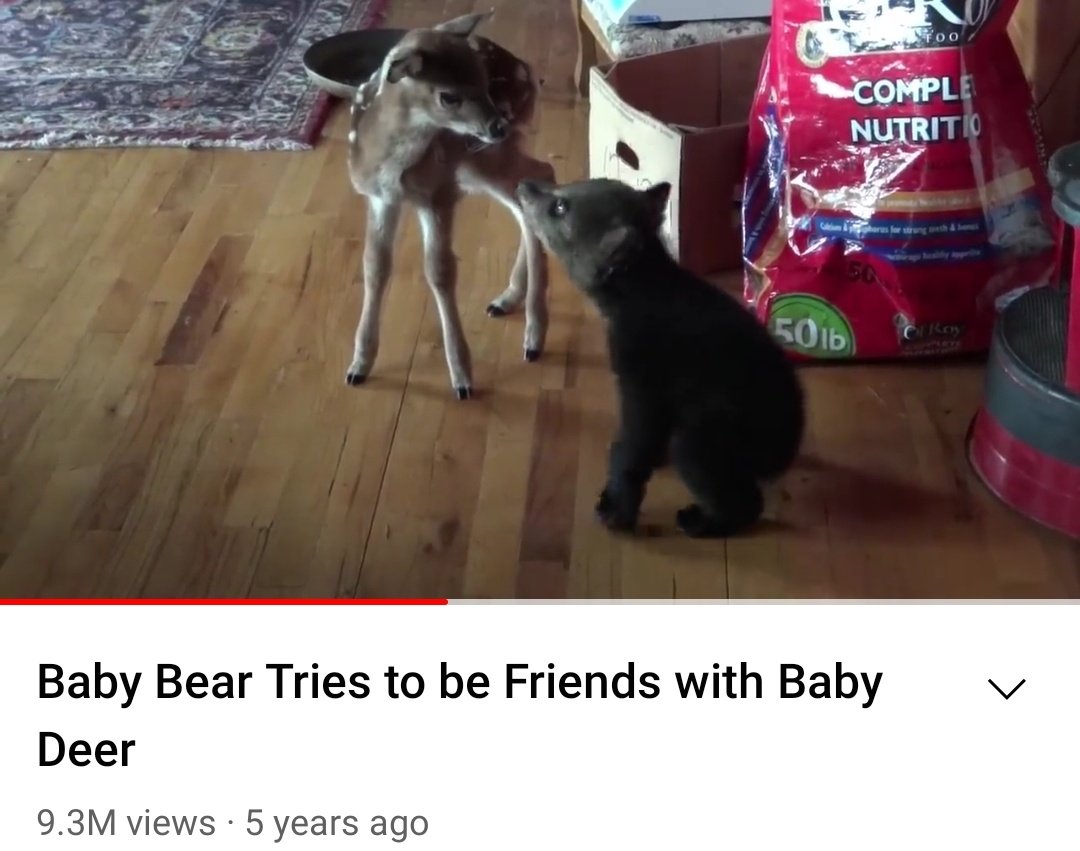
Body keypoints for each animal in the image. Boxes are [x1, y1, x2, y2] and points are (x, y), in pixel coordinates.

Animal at [345, 11, 556, 399]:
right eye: (448, 96)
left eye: (484, 80)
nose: (496, 126)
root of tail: (528, 71)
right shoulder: (380, 198)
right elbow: (374, 266)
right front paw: (359, 366)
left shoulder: (439, 194)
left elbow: (439, 272)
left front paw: (462, 377)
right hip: (479, 164)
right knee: (529, 193)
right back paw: (509, 300)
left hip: (481, 159)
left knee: (539, 177)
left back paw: (533, 334)